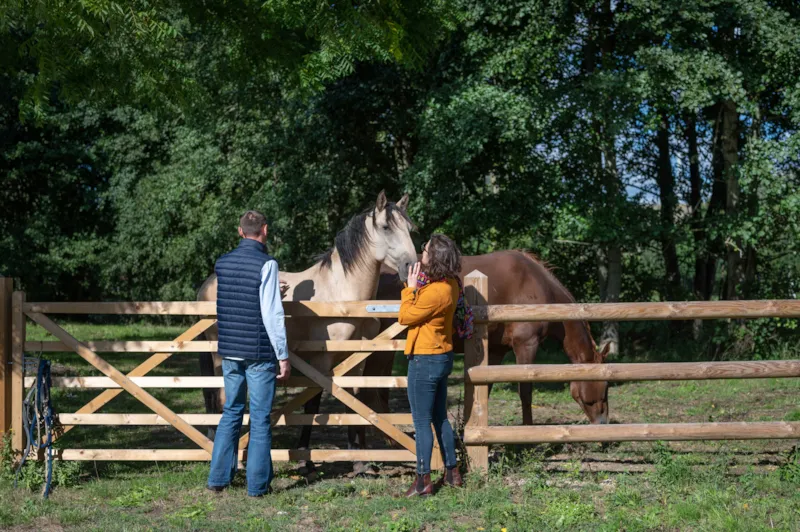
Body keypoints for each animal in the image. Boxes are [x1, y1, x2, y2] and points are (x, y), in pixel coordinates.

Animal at [197, 191, 419, 476]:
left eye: (409, 228)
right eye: (386, 227)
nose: (411, 266)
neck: (342, 296)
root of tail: (207, 284)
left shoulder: (357, 360)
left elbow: (354, 400)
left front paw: (360, 461)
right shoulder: (321, 361)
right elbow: (312, 403)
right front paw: (305, 459)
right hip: (218, 357)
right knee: (221, 396)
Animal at [372, 250, 610, 426]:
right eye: (605, 385)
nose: (603, 422)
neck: (539, 287)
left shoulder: (496, 350)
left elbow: (485, 389)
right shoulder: (526, 345)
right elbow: (526, 392)